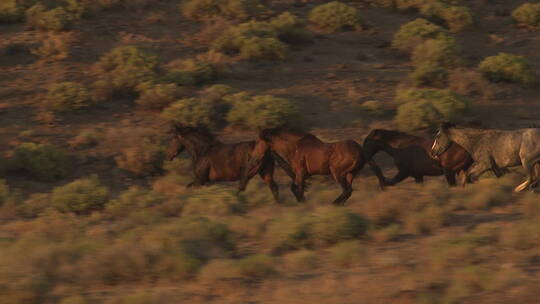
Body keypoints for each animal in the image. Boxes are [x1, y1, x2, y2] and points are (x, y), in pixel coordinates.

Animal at [250, 127, 388, 205]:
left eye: (259, 142)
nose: (254, 157)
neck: (295, 147)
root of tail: (361, 150)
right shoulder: (301, 174)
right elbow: (294, 188)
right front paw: (300, 201)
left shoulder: (300, 173)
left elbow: (299, 189)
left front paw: (303, 203)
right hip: (350, 174)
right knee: (348, 191)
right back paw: (337, 204)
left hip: (337, 172)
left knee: (346, 190)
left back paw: (333, 204)